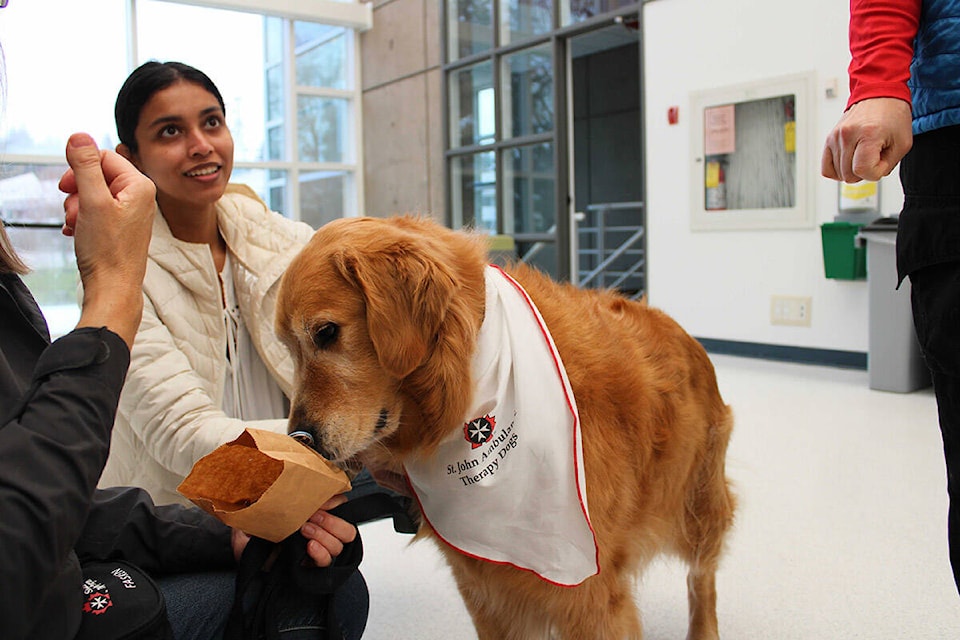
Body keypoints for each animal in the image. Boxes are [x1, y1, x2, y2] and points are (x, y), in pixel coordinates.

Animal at [274, 216, 740, 640]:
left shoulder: (590, 591)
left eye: (326, 332)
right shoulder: (486, 589)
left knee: (702, 577)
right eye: (288, 348)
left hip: (698, 506)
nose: (302, 439)